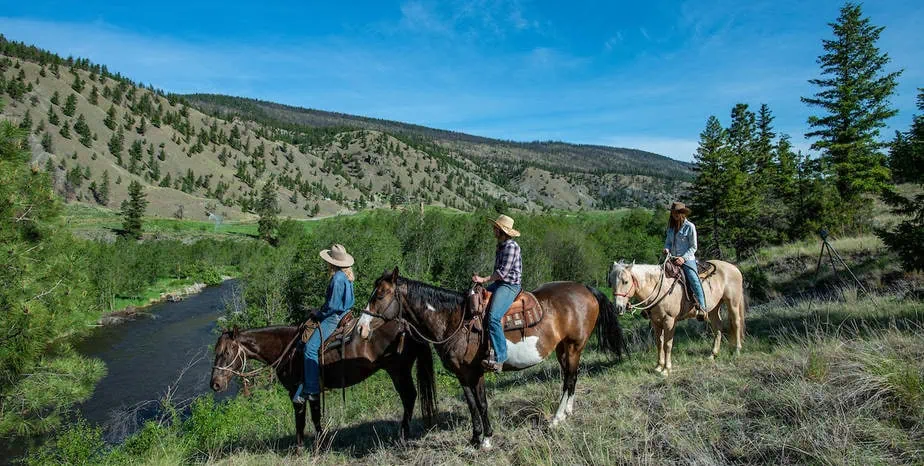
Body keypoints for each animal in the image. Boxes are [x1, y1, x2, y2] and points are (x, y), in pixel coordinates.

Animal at [211, 316, 434, 452]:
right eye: (216, 353)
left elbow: (305, 420)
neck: (288, 350)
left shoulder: (299, 391)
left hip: (398, 370)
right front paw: (316, 446)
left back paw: (403, 434)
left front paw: (306, 448)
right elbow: (312, 418)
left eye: (227, 353)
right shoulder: (309, 392)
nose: (215, 384)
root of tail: (408, 325)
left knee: (409, 396)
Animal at [356, 268, 628, 450]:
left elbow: (483, 404)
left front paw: (487, 439)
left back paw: (556, 419)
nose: (361, 328)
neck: (455, 320)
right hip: (563, 348)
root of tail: (585, 288)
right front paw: (475, 438)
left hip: (573, 346)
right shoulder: (462, 375)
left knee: (570, 378)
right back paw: (567, 412)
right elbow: (472, 405)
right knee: (571, 378)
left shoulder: (477, 372)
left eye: (380, 295)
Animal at [608, 258, 748, 374]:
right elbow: (659, 343)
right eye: (611, 283)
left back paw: (737, 350)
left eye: (625, 281)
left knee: (736, 323)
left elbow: (667, 344)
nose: (618, 308)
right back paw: (713, 355)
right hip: (713, 308)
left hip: (733, 303)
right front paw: (658, 366)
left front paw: (666, 369)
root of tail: (734, 267)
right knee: (717, 327)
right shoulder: (656, 322)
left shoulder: (669, 321)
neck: (659, 288)